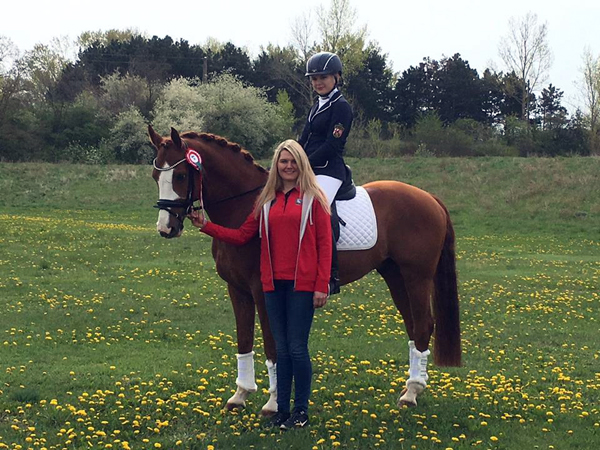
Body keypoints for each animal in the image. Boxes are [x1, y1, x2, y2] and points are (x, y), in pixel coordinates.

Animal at [149, 125, 460, 412]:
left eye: (180, 175)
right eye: (155, 177)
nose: (166, 228)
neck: (246, 208)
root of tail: (430, 198)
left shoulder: (263, 289)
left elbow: (272, 344)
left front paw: (273, 403)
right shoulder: (237, 289)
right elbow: (244, 341)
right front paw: (240, 396)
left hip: (416, 276)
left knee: (423, 324)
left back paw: (412, 393)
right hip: (394, 274)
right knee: (413, 326)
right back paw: (411, 388)